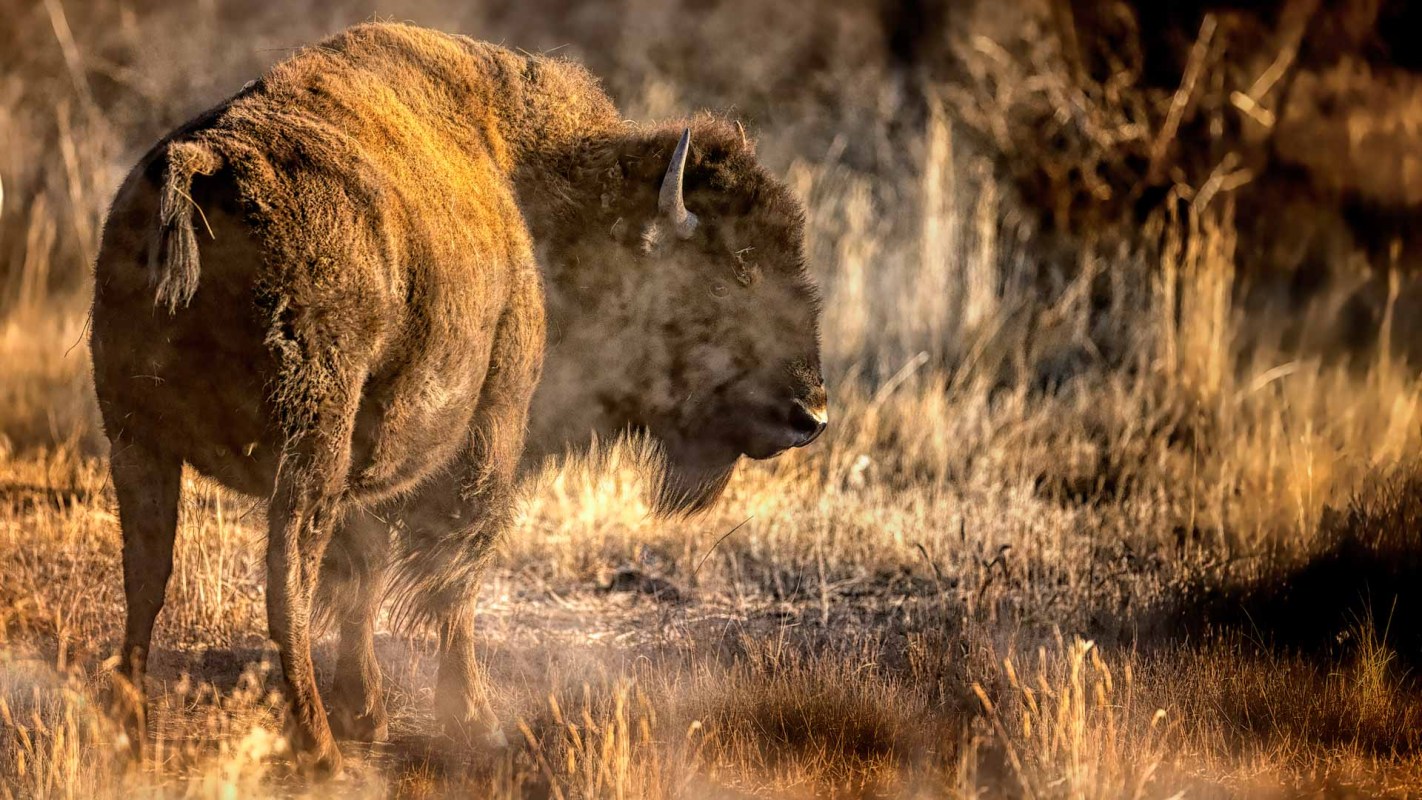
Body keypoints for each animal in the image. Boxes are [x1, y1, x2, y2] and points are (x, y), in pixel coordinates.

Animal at [90, 22, 826, 773]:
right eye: (726, 279)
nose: (810, 414)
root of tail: (205, 163)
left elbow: (365, 576)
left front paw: (369, 711)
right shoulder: (491, 433)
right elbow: (455, 577)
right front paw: (475, 721)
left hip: (136, 438)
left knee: (147, 570)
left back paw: (131, 730)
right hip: (305, 453)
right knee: (286, 579)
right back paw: (317, 748)